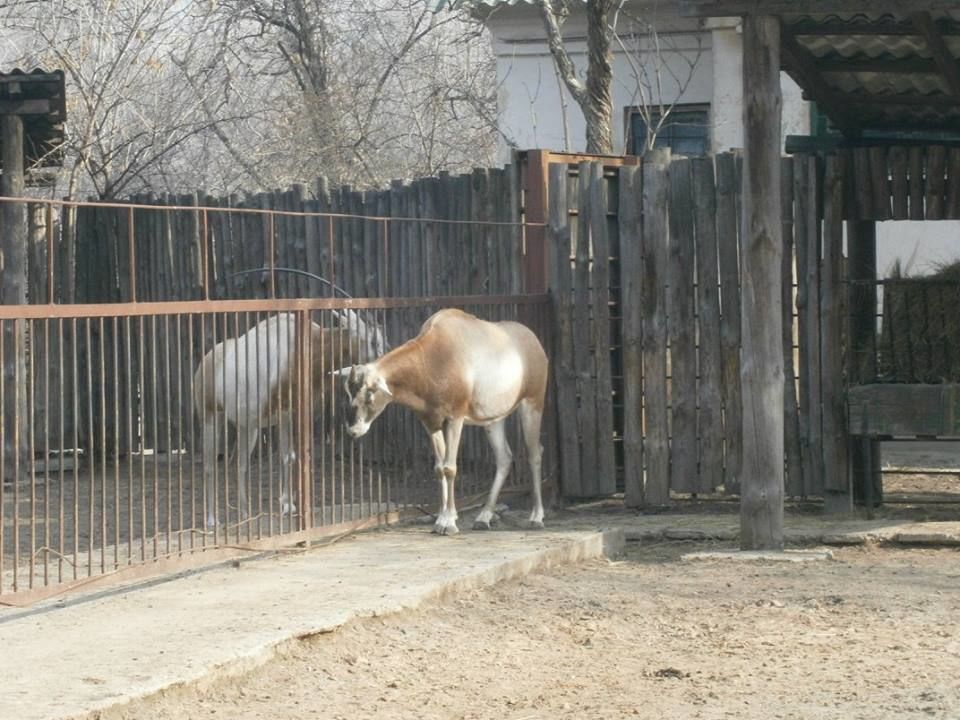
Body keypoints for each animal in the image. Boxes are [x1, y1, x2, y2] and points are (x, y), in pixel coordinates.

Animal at [193, 310, 384, 528]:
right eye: (371, 341)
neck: (305, 346)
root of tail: (206, 361)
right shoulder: (287, 412)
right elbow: (289, 456)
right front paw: (288, 505)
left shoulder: (292, 415)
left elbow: (288, 456)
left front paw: (288, 504)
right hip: (210, 417)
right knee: (210, 465)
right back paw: (211, 520)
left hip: (247, 426)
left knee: (239, 464)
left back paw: (244, 513)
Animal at [338, 306, 548, 536]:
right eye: (348, 392)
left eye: (369, 394)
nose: (354, 430)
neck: (434, 356)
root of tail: (534, 342)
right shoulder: (431, 422)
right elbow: (439, 468)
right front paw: (441, 519)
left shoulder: (455, 418)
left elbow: (450, 467)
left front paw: (449, 524)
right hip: (493, 420)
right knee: (504, 458)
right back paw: (483, 518)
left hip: (532, 404)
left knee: (535, 454)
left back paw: (536, 517)